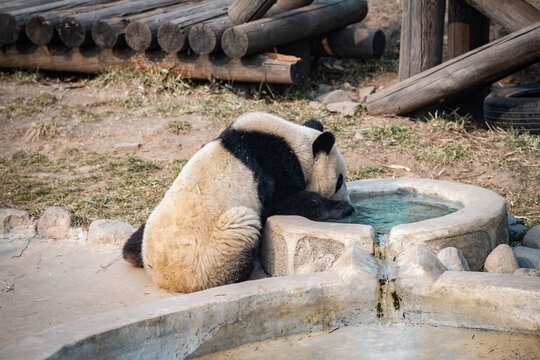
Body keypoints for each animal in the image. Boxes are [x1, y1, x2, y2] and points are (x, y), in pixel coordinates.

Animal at [121, 112, 354, 292]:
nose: (347, 198)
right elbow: (284, 201)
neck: (295, 143)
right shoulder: (274, 164)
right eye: (339, 181)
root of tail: (162, 277)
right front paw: (341, 208)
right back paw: (244, 269)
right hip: (214, 250)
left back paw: (132, 253)